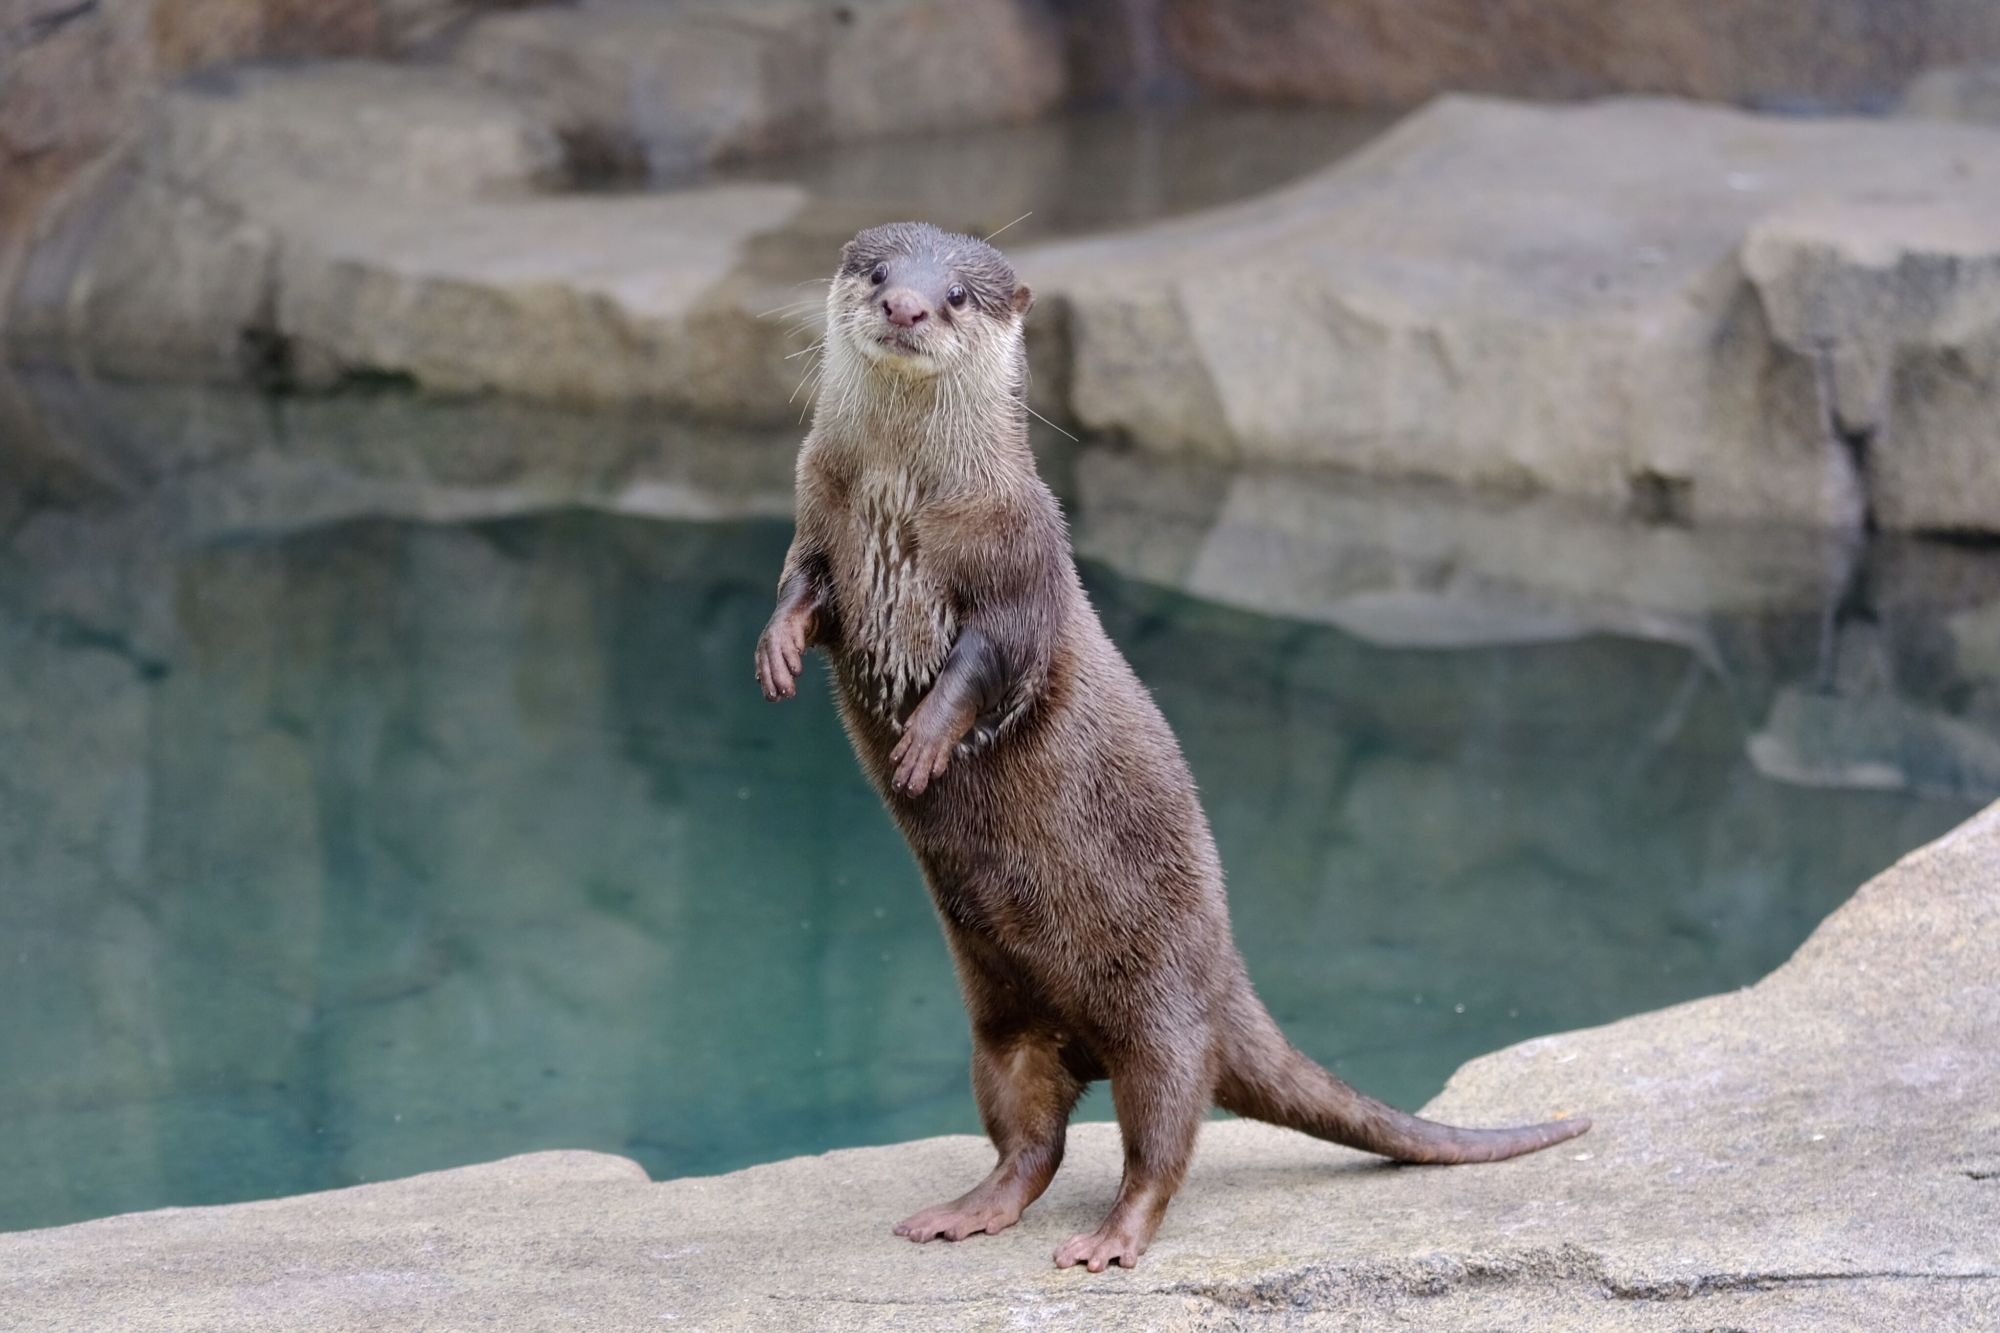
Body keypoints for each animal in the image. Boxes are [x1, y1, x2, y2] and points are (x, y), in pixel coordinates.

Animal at [752, 220, 1592, 1264]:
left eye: (955, 294)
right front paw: (777, 650)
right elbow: (802, 589)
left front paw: (924, 741)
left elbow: (993, 661)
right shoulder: (817, 515)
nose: (905, 306)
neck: (903, 508)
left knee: (1162, 1135)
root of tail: (1226, 985)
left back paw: (1111, 1236)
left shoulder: (1023, 558)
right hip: (1004, 1027)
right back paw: (970, 1208)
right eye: (876, 272)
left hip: (1162, 1010)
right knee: (1031, 1139)